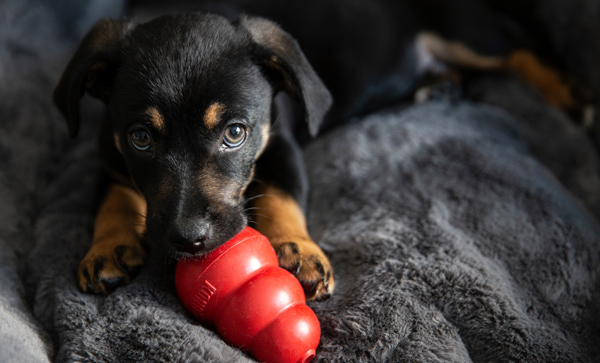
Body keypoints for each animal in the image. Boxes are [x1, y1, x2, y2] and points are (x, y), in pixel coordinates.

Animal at [54, 12, 336, 302]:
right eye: (141, 137)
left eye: (235, 132)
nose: (189, 239)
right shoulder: (110, 157)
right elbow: (114, 199)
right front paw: (108, 247)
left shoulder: (282, 146)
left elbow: (282, 195)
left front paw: (297, 248)